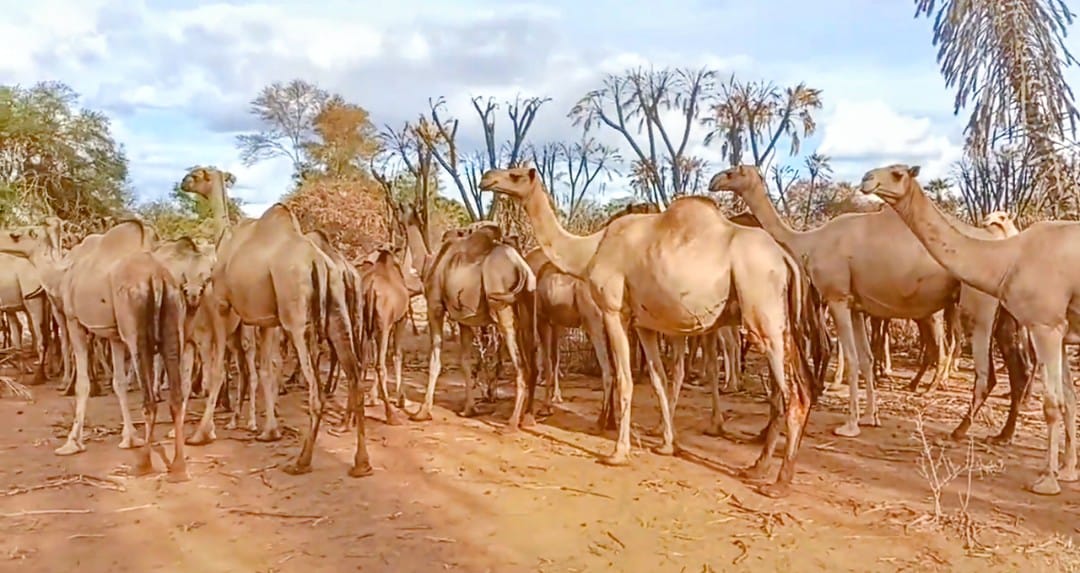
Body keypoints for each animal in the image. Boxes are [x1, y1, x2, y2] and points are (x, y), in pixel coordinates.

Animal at [0, 221, 189, 478]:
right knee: (176, 395)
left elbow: (83, 384)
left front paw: (72, 443)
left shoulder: (75, 321)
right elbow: (119, 383)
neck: (62, 276)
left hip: (134, 326)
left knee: (149, 399)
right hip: (173, 315)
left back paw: (143, 464)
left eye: (15, 235)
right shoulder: (114, 336)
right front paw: (129, 438)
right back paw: (179, 467)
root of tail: (157, 278)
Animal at [480, 167, 823, 496]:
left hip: (762, 314)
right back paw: (756, 467)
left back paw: (778, 483)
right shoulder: (644, 324)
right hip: (779, 321)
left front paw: (618, 453)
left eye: (515, 175)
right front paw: (668, 445)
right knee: (789, 390)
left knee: (793, 394)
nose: (487, 178)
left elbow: (624, 378)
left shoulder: (613, 311)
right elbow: (658, 381)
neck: (590, 251)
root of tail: (786, 258)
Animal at [709, 166, 1031, 443]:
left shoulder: (838, 298)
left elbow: (852, 358)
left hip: (978, 307)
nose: (714, 181)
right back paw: (1003, 434)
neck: (809, 242)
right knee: (1017, 368)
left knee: (983, 370)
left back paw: (959, 428)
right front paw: (869, 417)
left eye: (734, 171)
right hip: (1005, 312)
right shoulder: (856, 306)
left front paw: (849, 425)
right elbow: (865, 359)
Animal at [860, 164, 1074, 495]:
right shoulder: (1059, 330)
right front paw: (1066, 471)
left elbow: (1053, 403)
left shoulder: (1046, 325)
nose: (866, 179)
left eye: (897, 173)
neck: (1007, 258)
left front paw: (1048, 480)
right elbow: (1069, 400)